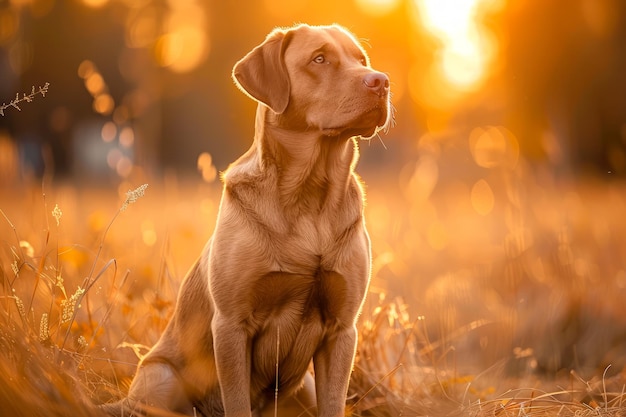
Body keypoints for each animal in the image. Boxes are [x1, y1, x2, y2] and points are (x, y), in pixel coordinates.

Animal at [104, 23, 390, 416]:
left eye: (361, 60)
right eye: (319, 59)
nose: (382, 81)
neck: (310, 195)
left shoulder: (341, 330)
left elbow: (333, 404)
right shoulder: (231, 325)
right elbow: (237, 401)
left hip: (304, 388)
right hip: (160, 380)